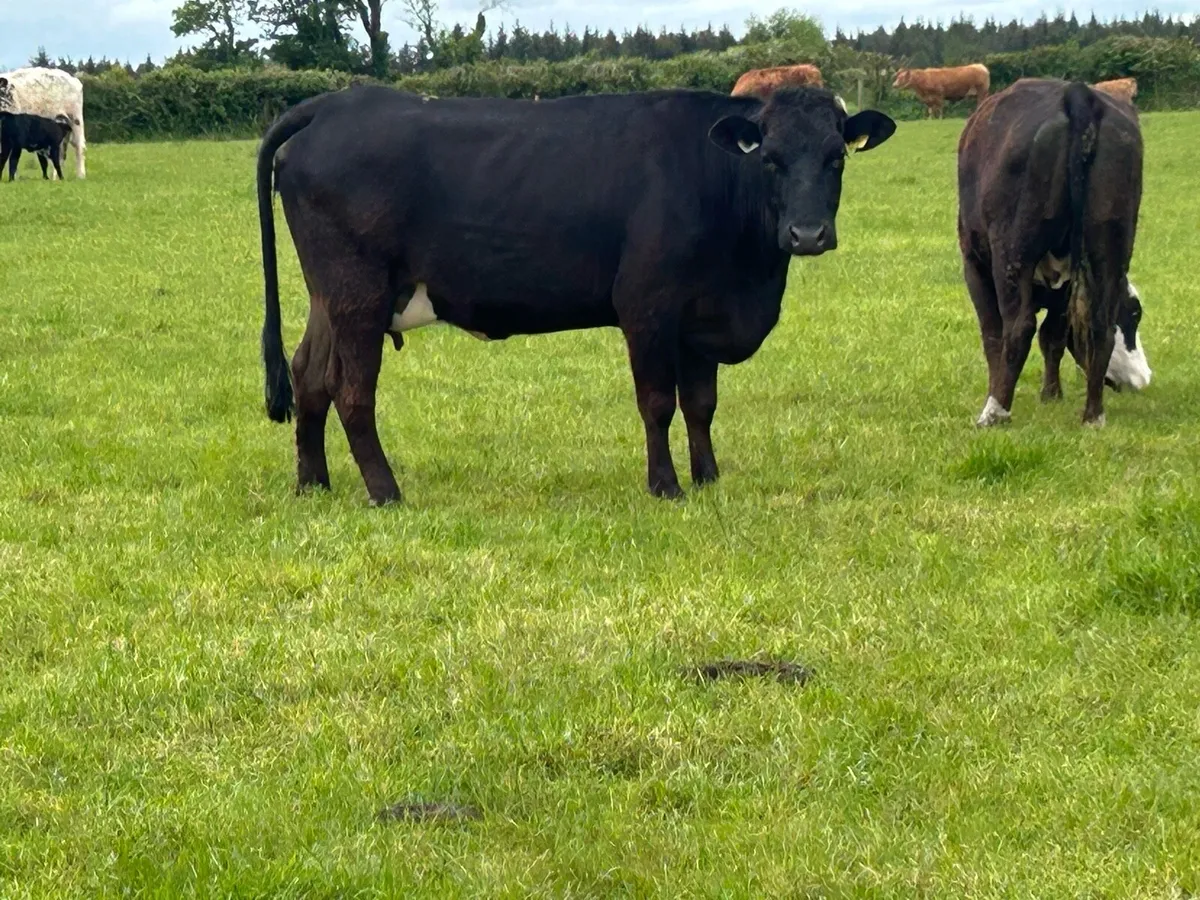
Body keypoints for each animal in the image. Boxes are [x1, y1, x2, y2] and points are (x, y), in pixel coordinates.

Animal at [256, 85, 896, 504]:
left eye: (836, 158)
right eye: (770, 159)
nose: (807, 234)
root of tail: (333, 104)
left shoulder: (699, 319)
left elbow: (701, 404)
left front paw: (709, 478)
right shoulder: (647, 308)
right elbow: (658, 402)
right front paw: (666, 486)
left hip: (330, 297)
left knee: (309, 375)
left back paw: (312, 484)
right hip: (358, 293)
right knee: (351, 391)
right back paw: (385, 491)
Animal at [957, 78, 1149, 430]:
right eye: (1132, 316)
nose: (1142, 379)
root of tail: (1076, 92)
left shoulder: (974, 265)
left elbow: (994, 335)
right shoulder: (1067, 285)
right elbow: (1053, 336)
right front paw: (1052, 394)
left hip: (1011, 252)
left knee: (1018, 328)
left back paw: (995, 412)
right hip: (1109, 243)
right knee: (1099, 325)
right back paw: (1093, 415)